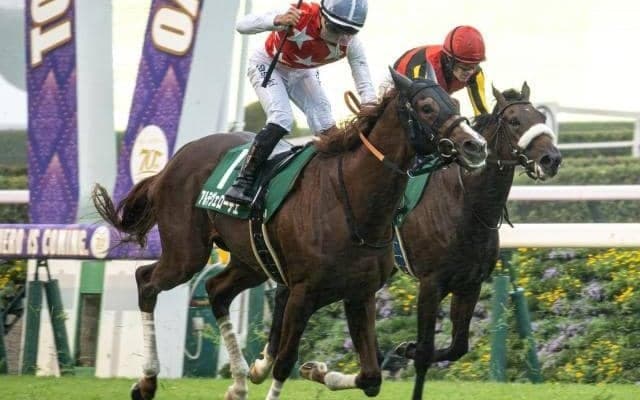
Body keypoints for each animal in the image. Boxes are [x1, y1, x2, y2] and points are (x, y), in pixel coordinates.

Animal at [91, 68, 488, 400]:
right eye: (425, 107)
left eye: (455, 103)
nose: (475, 145)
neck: (353, 202)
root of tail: (174, 160)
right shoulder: (302, 291)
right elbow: (284, 361)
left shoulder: (359, 293)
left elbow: (372, 376)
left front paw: (318, 370)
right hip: (186, 253)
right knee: (147, 282)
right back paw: (147, 381)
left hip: (249, 260)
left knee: (216, 290)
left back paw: (237, 382)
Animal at [256, 82, 562, 400]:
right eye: (514, 121)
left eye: (541, 116)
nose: (551, 159)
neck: (466, 204)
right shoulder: (431, 283)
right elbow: (426, 353)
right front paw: (409, 351)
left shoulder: (469, 284)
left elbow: (457, 347)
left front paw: (404, 348)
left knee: (285, 293)